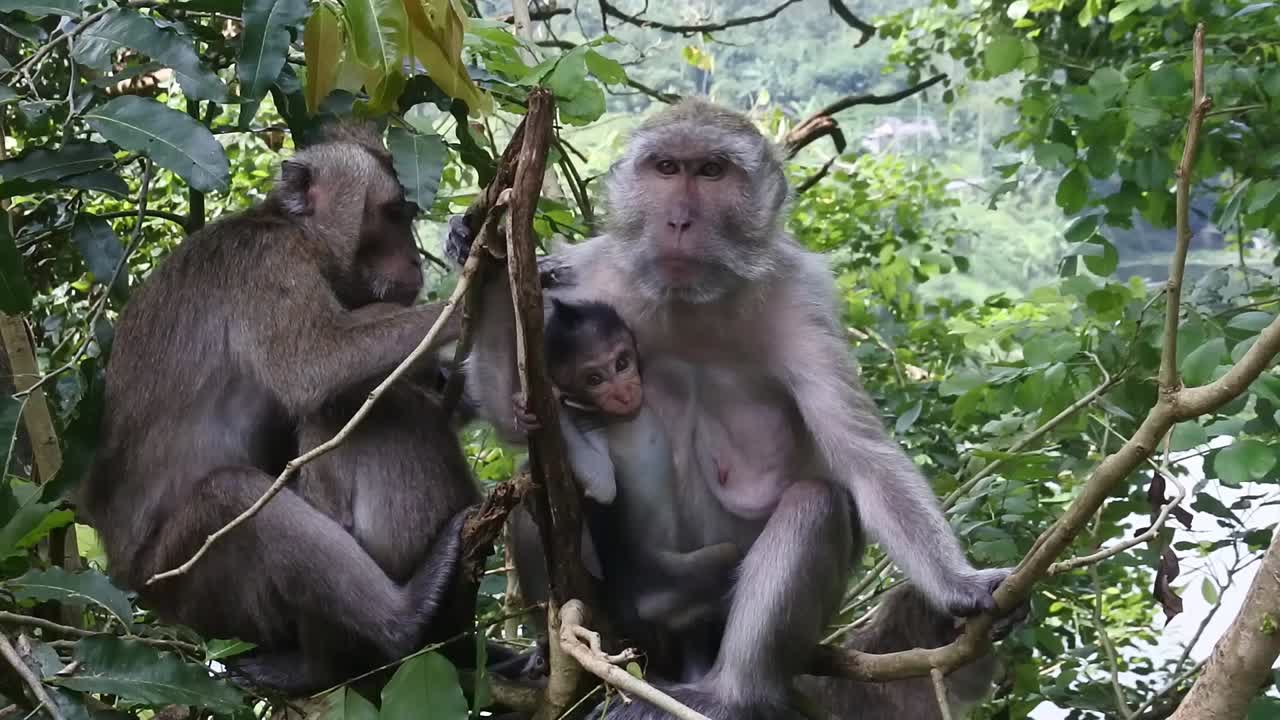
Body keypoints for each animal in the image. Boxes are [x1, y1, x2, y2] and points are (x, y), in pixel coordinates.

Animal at [81, 123, 478, 696]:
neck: (297, 233)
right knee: (233, 496)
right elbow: (313, 365)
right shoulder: (267, 263)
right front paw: (496, 283)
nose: (414, 260)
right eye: (393, 214)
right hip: (189, 585)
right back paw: (401, 618)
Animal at [446, 97, 1027, 718]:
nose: (679, 221)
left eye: (711, 172)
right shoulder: (589, 277)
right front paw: (481, 249)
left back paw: (730, 693)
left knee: (815, 505)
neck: (691, 301)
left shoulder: (802, 302)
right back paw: (552, 650)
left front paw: (963, 585)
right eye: (667, 168)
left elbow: (862, 456)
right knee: (533, 483)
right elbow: (515, 416)